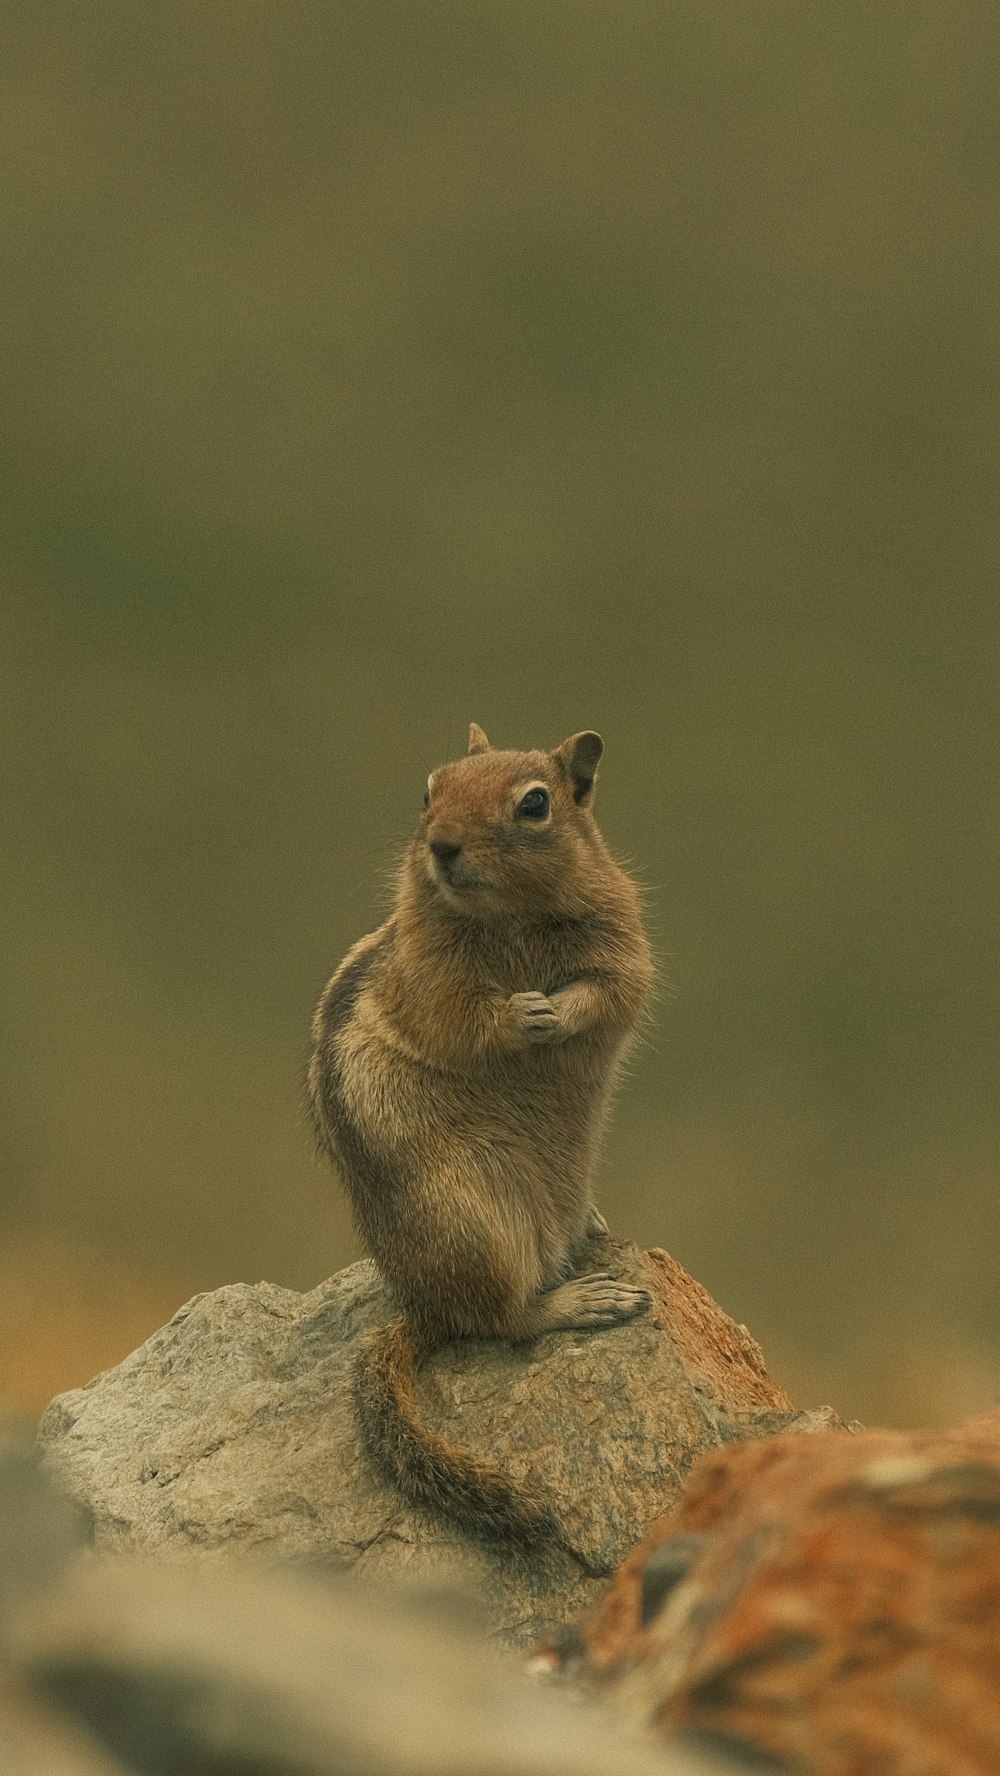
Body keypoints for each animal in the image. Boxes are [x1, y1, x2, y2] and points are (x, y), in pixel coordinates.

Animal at [310, 721, 657, 1555]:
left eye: (534, 804)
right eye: (427, 790)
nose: (440, 846)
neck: (513, 916)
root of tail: (426, 1304)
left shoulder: (622, 941)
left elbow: (612, 989)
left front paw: (558, 1012)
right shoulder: (428, 978)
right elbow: (464, 1019)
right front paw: (522, 1013)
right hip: (480, 1214)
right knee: (502, 1321)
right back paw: (583, 1301)